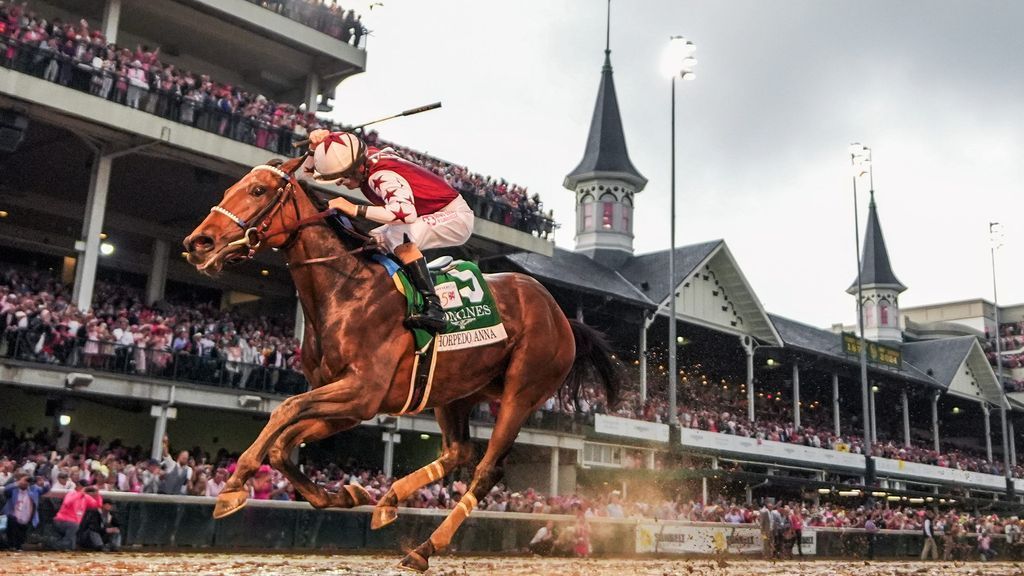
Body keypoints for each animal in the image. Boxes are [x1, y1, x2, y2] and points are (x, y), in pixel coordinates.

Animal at [180, 155, 618, 569]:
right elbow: (283, 445)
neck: (345, 290)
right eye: (229, 189)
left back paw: (425, 548)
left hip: (521, 393)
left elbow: (284, 411)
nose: (198, 242)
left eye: (257, 190)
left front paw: (234, 485)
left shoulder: (362, 391)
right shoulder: (351, 405)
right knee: (459, 452)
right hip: (456, 393)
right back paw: (390, 499)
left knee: (486, 469)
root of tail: (560, 313)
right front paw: (345, 492)